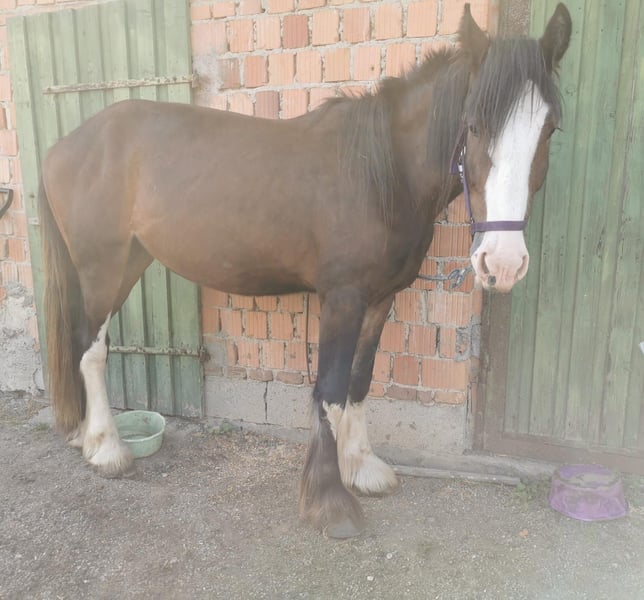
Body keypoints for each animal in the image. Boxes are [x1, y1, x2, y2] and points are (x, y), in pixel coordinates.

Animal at [38, 4, 571, 538]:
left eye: (550, 130)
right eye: (475, 126)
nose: (503, 262)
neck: (380, 172)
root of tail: (64, 146)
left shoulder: (380, 299)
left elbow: (359, 381)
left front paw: (362, 467)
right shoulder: (343, 297)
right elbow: (331, 389)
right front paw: (330, 501)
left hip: (131, 260)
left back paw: (86, 437)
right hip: (103, 266)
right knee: (91, 349)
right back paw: (106, 448)